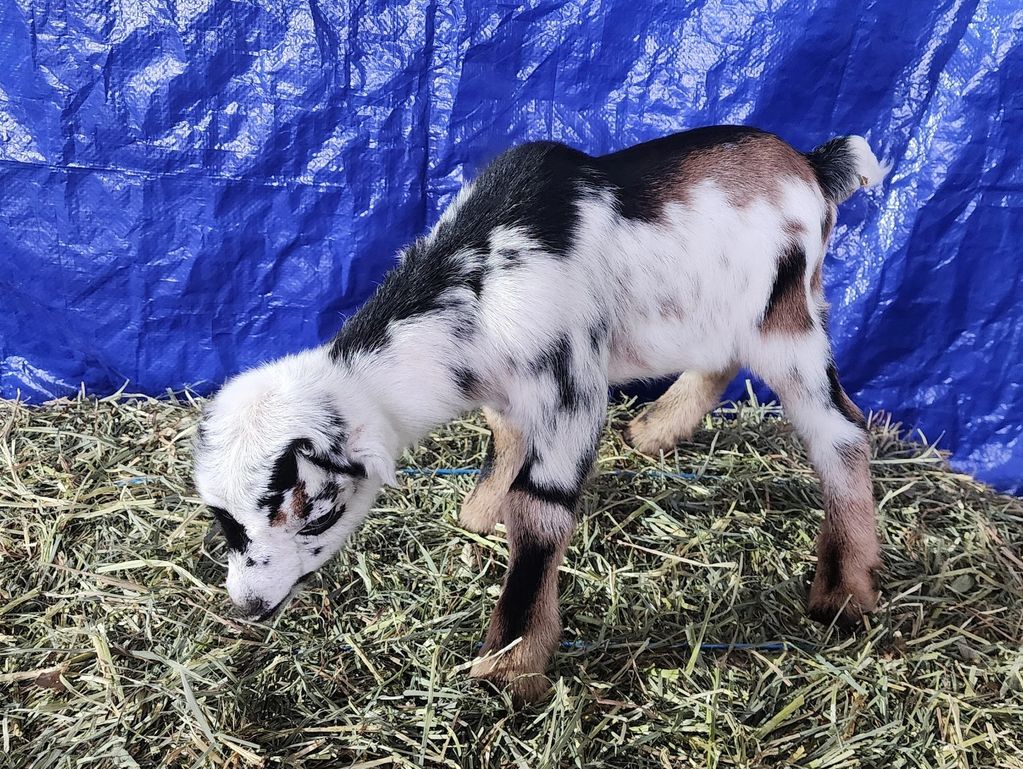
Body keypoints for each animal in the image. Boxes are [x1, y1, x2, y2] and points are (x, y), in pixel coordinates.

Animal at [193, 125, 889, 702]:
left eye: (314, 515)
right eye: (224, 523)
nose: (249, 605)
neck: (482, 282)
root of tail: (813, 166)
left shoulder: (571, 389)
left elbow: (540, 508)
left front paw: (509, 666)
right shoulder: (508, 391)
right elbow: (503, 436)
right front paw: (479, 514)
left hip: (787, 317)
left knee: (842, 430)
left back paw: (844, 594)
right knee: (721, 361)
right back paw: (654, 430)